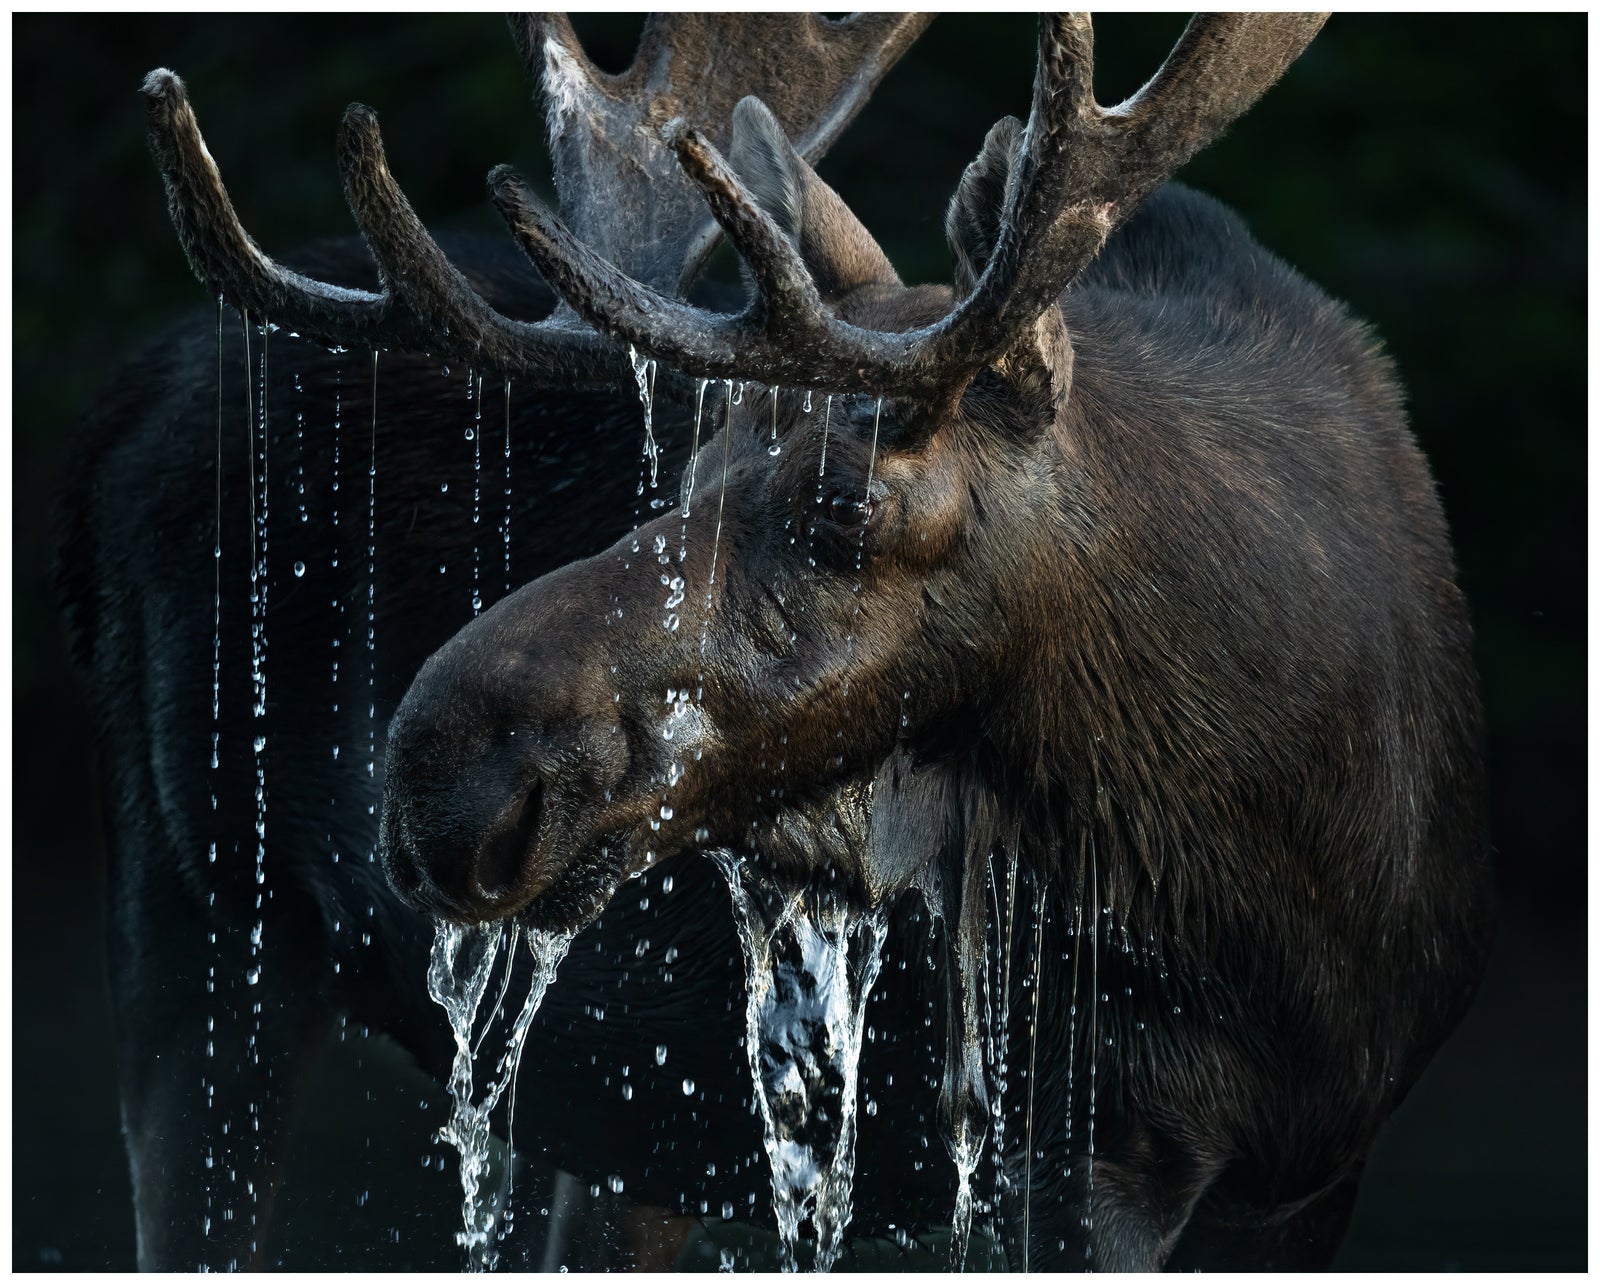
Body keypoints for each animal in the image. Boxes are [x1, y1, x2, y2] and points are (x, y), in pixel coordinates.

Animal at [61, 9, 1493, 1272]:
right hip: (196, 921)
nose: (443, 779)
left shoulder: (1306, 1169)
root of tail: (122, 394)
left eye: (844, 504)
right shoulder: (1078, 1145)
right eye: (685, 464)